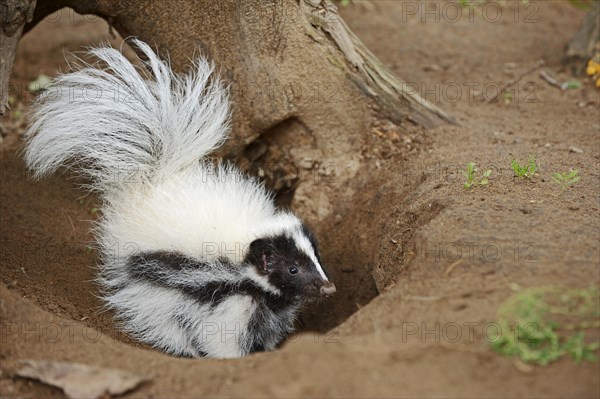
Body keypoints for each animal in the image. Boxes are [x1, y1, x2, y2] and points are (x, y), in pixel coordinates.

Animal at [24, 39, 338, 360]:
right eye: (292, 269)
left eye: (317, 258)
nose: (328, 288)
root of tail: (151, 184)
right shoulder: (220, 287)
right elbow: (224, 331)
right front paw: (230, 355)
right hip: (151, 274)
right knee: (157, 312)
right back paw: (177, 344)